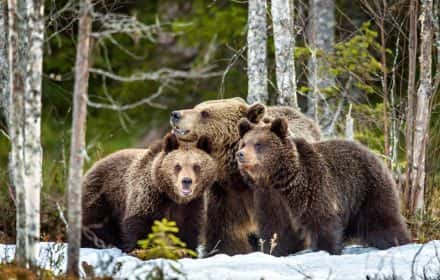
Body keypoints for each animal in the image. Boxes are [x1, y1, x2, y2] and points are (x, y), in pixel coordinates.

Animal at [82, 132, 217, 253]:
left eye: (196, 166)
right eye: (177, 166)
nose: (186, 181)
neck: (172, 196)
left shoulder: (192, 204)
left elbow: (189, 228)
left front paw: (187, 250)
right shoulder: (148, 195)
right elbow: (139, 222)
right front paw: (140, 247)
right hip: (102, 196)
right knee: (93, 221)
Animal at [168, 97, 320, 255]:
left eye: (205, 113)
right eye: (197, 107)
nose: (175, 114)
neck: (238, 176)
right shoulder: (227, 194)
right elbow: (226, 233)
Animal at [235, 118, 410, 256]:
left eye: (258, 144)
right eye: (243, 143)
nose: (240, 154)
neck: (279, 179)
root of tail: (373, 153)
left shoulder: (312, 188)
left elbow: (321, 221)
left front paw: (326, 249)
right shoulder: (269, 198)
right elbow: (276, 228)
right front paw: (275, 251)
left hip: (367, 190)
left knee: (383, 219)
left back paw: (397, 242)